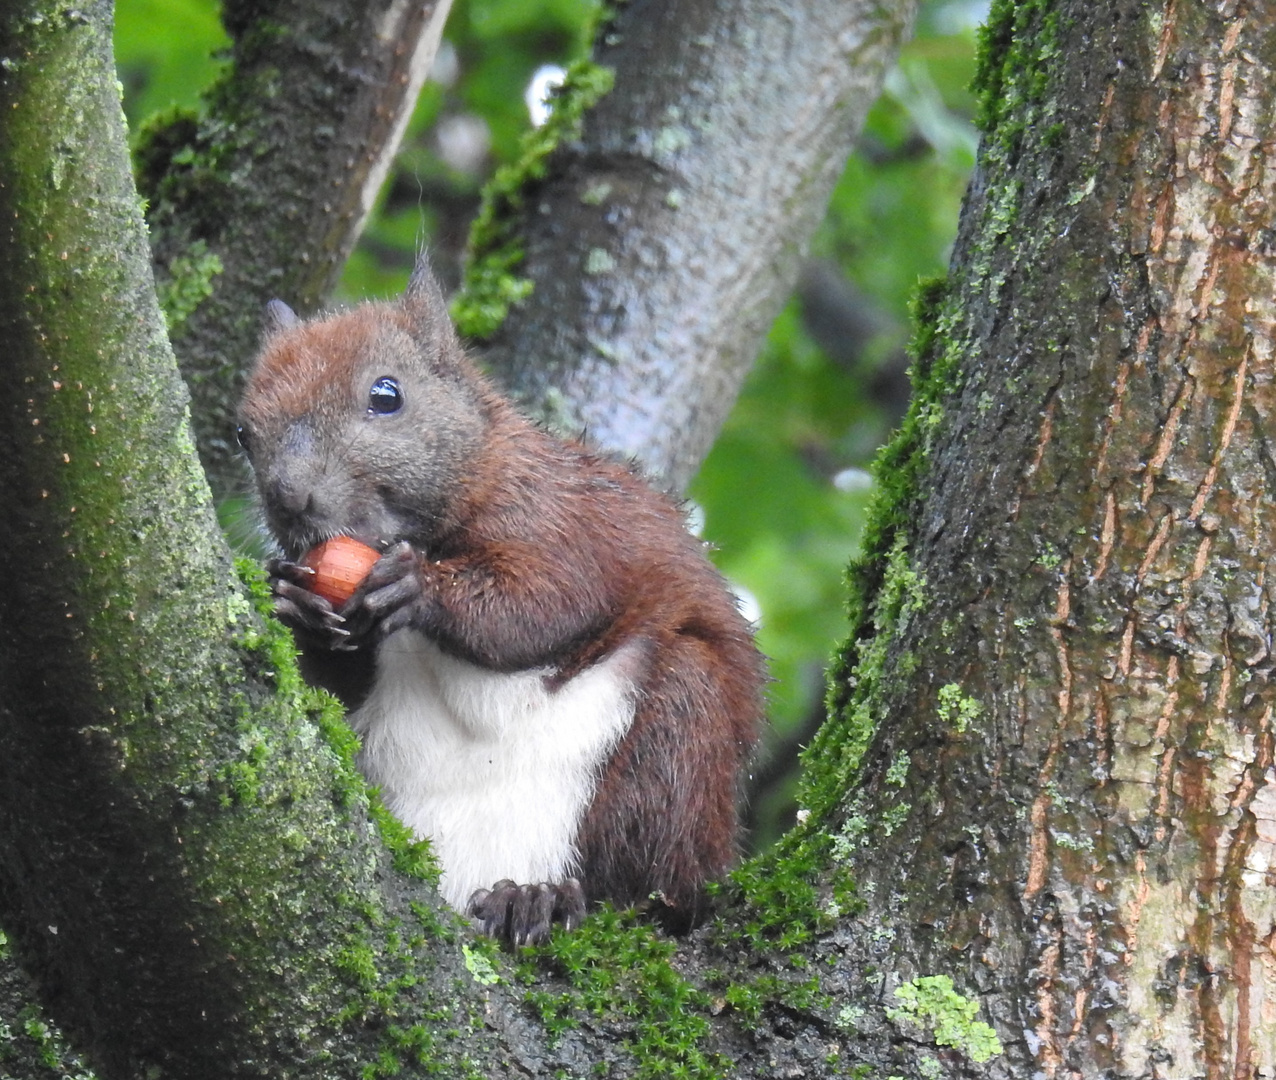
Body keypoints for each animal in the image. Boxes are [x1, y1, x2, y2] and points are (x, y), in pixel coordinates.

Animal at [234, 264, 760, 949]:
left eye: (386, 395)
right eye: (243, 433)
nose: (289, 498)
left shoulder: (565, 522)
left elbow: (544, 602)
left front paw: (421, 589)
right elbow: (330, 694)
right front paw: (296, 604)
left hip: (680, 741)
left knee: (644, 880)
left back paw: (547, 899)